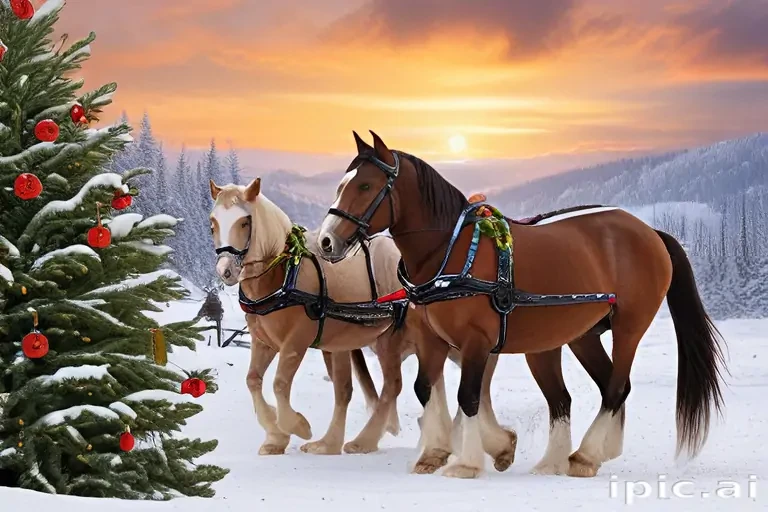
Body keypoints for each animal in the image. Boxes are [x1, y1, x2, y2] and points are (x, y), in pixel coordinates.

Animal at [315, 131, 727, 479]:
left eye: (366, 185)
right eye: (341, 185)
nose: (326, 242)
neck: (450, 253)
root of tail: (650, 232)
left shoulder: (476, 341)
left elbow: (468, 396)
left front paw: (468, 462)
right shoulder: (433, 339)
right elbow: (425, 388)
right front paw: (446, 452)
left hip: (628, 327)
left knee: (614, 388)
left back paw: (586, 456)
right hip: (578, 336)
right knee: (581, 394)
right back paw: (561, 460)